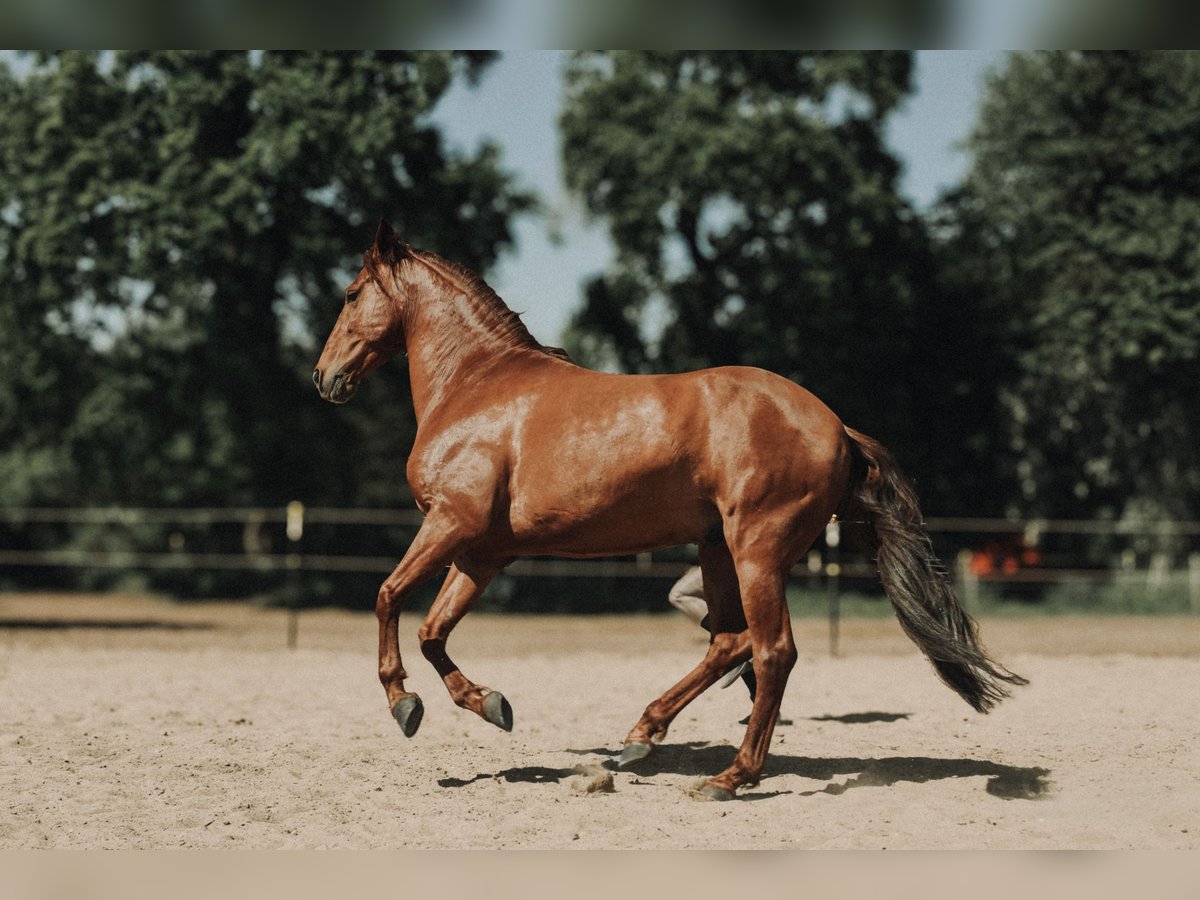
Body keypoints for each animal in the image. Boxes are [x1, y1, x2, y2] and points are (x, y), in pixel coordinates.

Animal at [312, 220, 1027, 800]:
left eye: (349, 293)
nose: (324, 378)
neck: (476, 386)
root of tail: (838, 428)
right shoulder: (485, 552)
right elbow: (433, 630)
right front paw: (489, 704)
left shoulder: (450, 522)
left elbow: (387, 597)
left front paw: (404, 704)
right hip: (717, 549)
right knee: (729, 642)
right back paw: (641, 736)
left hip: (756, 550)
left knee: (772, 651)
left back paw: (728, 777)